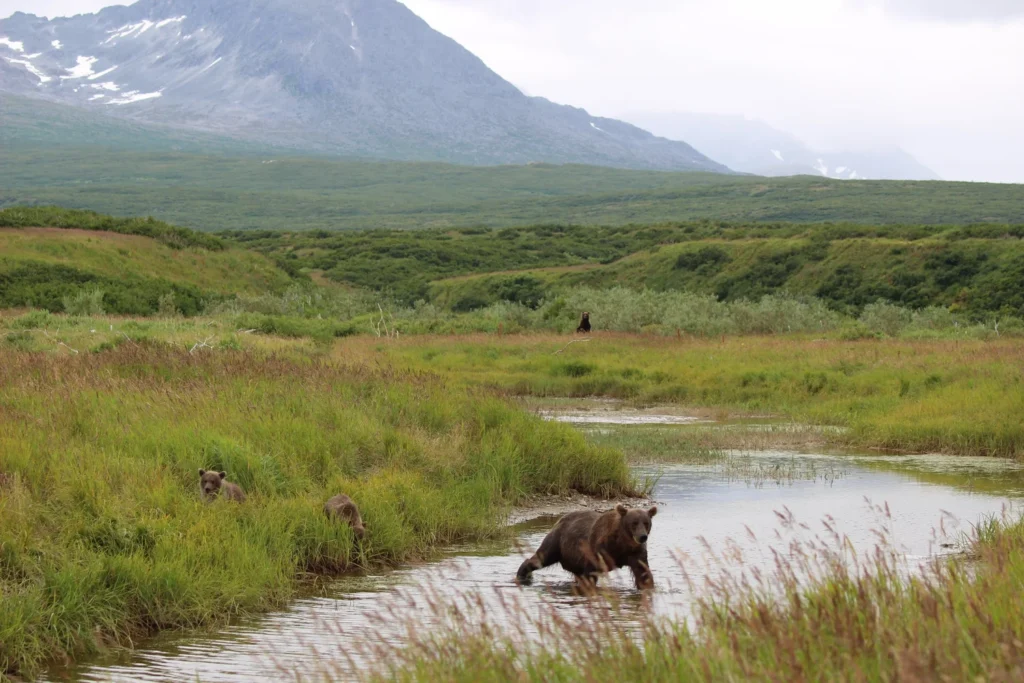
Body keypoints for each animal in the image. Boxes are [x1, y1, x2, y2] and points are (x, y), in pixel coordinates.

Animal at [516, 504, 657, 589]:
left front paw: (647, 587)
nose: (642, 536)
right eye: (634, 523)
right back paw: (522, 575)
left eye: (646, 523)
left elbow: (643, 573)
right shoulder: (600, 549)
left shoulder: (635, 552)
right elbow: (591, 572)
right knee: (542, 557)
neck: (622, 543)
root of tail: (560, 520)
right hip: (558, 541)